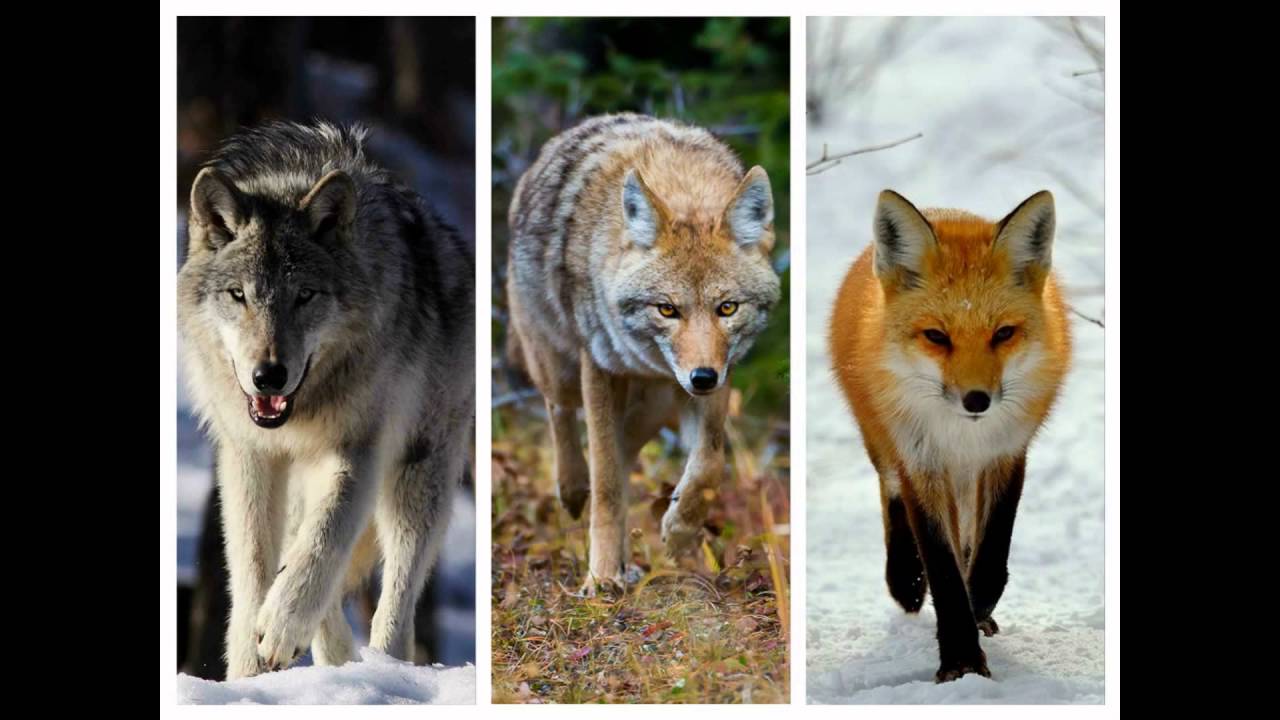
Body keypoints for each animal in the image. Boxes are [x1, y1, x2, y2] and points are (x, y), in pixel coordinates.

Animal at [177, 121, 474, 678]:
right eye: (238, 295)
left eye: (304, 296)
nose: (268, 376)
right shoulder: (248, 457)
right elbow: (253, 569)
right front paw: (248, 671)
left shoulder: (358, 448)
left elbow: (326, 539)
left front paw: (281, 626)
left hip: (417, 474)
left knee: (396, 600)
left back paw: (384, 669)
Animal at [505, 113, 782, 593]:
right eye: (667, 309)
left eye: (727, 308)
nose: (702, 378)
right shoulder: (598, 368)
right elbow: (606, 484)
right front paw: (600, 579)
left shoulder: (720, 378)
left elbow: (709, 465)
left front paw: (679, 533)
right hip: (558, 368)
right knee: (563, 417)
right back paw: (573, 492)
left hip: (652, 410)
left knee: (624, 452)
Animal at [828, 190, 1071, 681]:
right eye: (937, 337)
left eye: (1003, 334)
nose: (976, 400)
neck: (963, 438)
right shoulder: (921, 459)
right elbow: (941, 564)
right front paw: (961, 658)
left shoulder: (1006, 452)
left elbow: (992, 547)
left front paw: (977, 609)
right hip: (884, 443)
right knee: (891, 494)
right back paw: (905, 580)